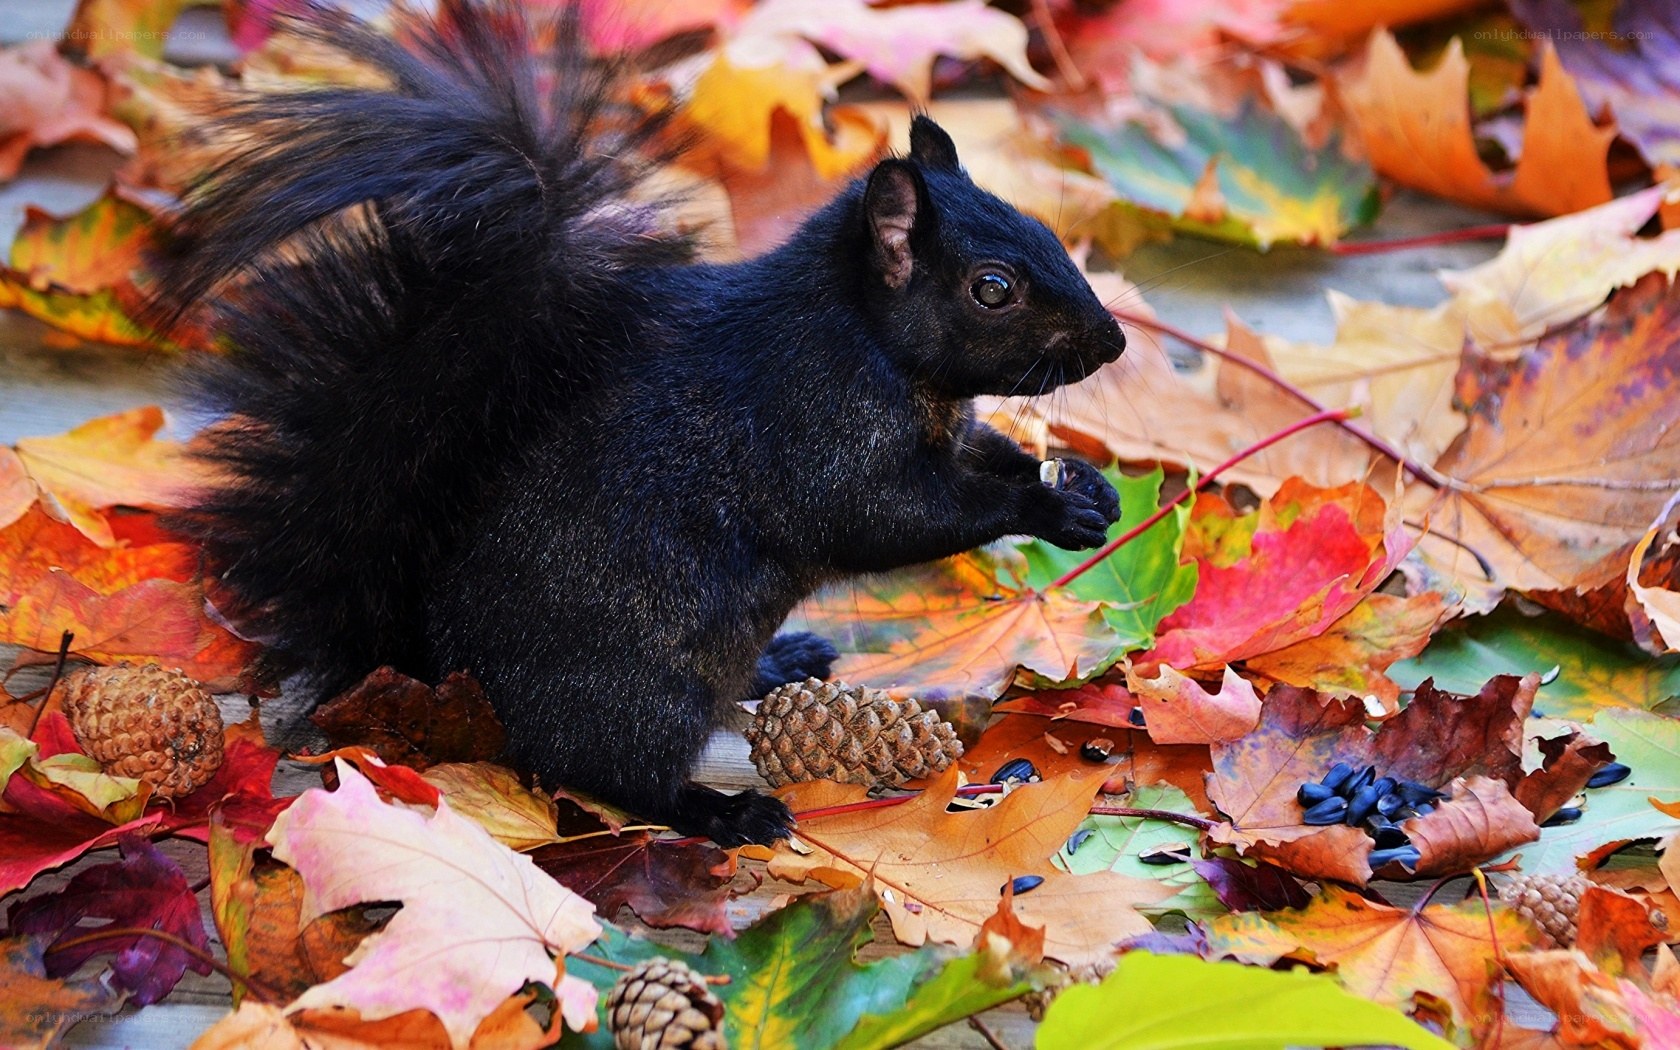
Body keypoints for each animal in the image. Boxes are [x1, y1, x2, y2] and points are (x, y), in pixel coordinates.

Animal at [152, 0, 1126, 846]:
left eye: (1044, 229)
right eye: (993, 288)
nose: (1113, 342)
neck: (873, 343)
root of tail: (447, 673)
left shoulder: (942, 429)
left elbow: (984, 455)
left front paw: (1082, 486)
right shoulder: (817, 429)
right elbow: (894, 518)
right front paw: (1046, 509)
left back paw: (781, 663)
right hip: (642, 689)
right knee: (610, 771)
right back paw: (723, 811)